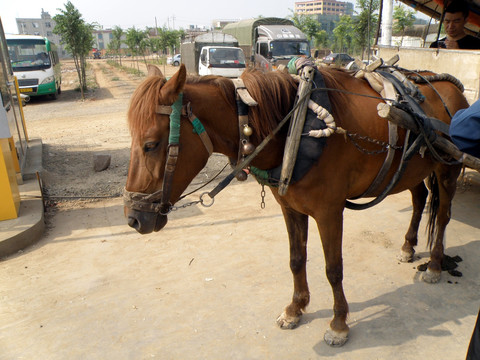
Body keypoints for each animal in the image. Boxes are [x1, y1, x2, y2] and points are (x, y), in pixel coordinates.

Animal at [124, 64, 468, 346]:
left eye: (151, 144)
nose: (133, 219)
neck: (293, 127)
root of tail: (452, 90)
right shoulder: (290, 207)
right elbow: (296, 259)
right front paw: (295, 308)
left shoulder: (330, 212)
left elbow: (333, 269)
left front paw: (338, 323)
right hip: (413, 168)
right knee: (420, 199)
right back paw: (408, 246)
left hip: (447, 168)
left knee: (444, 214)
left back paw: (435, 264)